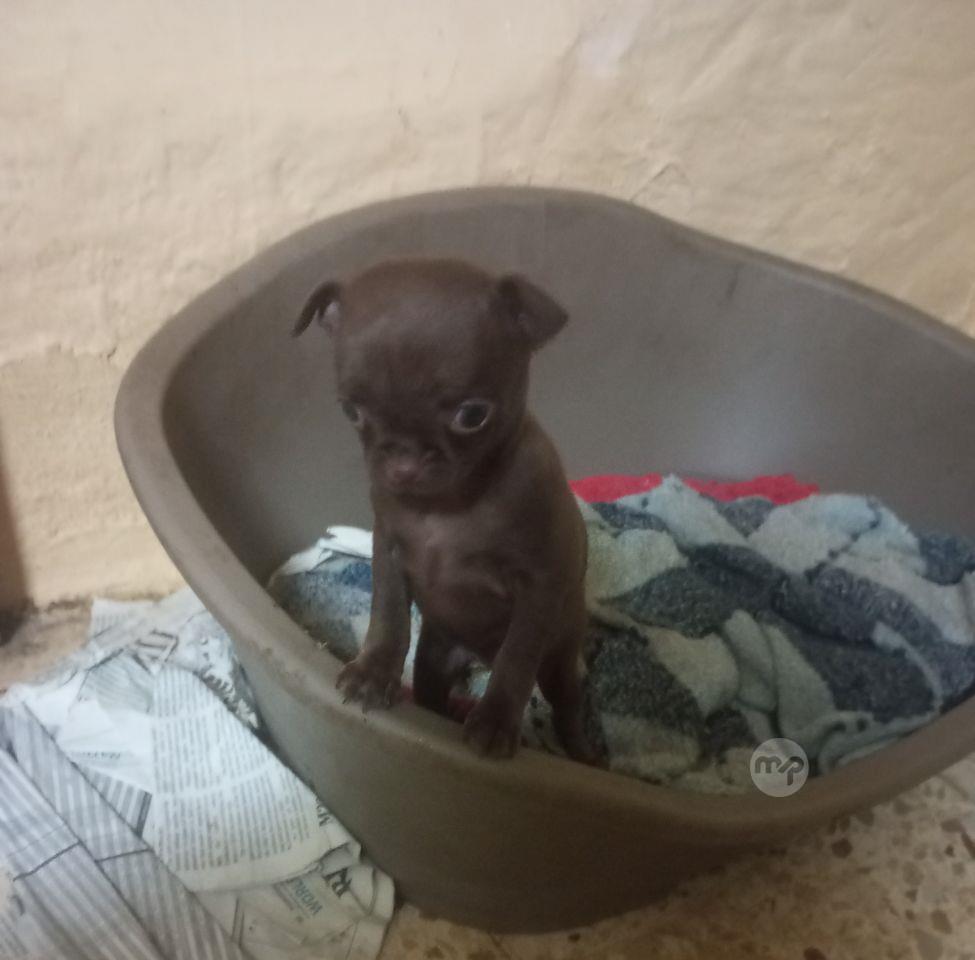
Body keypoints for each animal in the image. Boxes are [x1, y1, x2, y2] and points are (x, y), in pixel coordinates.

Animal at [294, 259, 591, 760]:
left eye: (472, 415)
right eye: (351, 411)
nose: (402, 463)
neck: (447, 507)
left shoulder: (538, 585)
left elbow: (517, 655)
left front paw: (495, 718)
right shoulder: (389, 552)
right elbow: (388, 615)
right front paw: (373, 672)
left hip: (560, 662)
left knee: (568, 701)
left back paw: (587, 751)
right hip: (435, 659)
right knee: (431, 691)